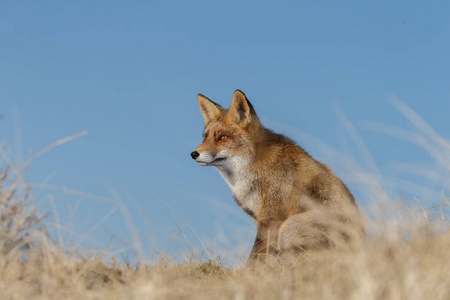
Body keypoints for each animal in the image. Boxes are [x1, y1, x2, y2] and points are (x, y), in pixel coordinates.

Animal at [191, 89, 366, 264]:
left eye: (223, 137)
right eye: (205, 137)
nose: (194, 154)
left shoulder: (271, 218)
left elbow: (254, 257)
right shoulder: (259, 219)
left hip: (289, 227)